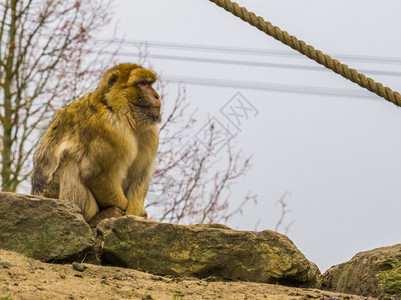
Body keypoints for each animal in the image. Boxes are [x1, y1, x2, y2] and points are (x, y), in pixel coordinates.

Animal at [30, 62, 161, 224]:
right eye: (142, 84)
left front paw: (135, 212)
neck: (118, 110)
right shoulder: (109, 128)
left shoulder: (150, 133)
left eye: (149, 84)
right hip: (53, 192)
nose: (156, 96)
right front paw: (121, 208)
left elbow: (140, 175)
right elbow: (95, 174)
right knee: (71, 161)